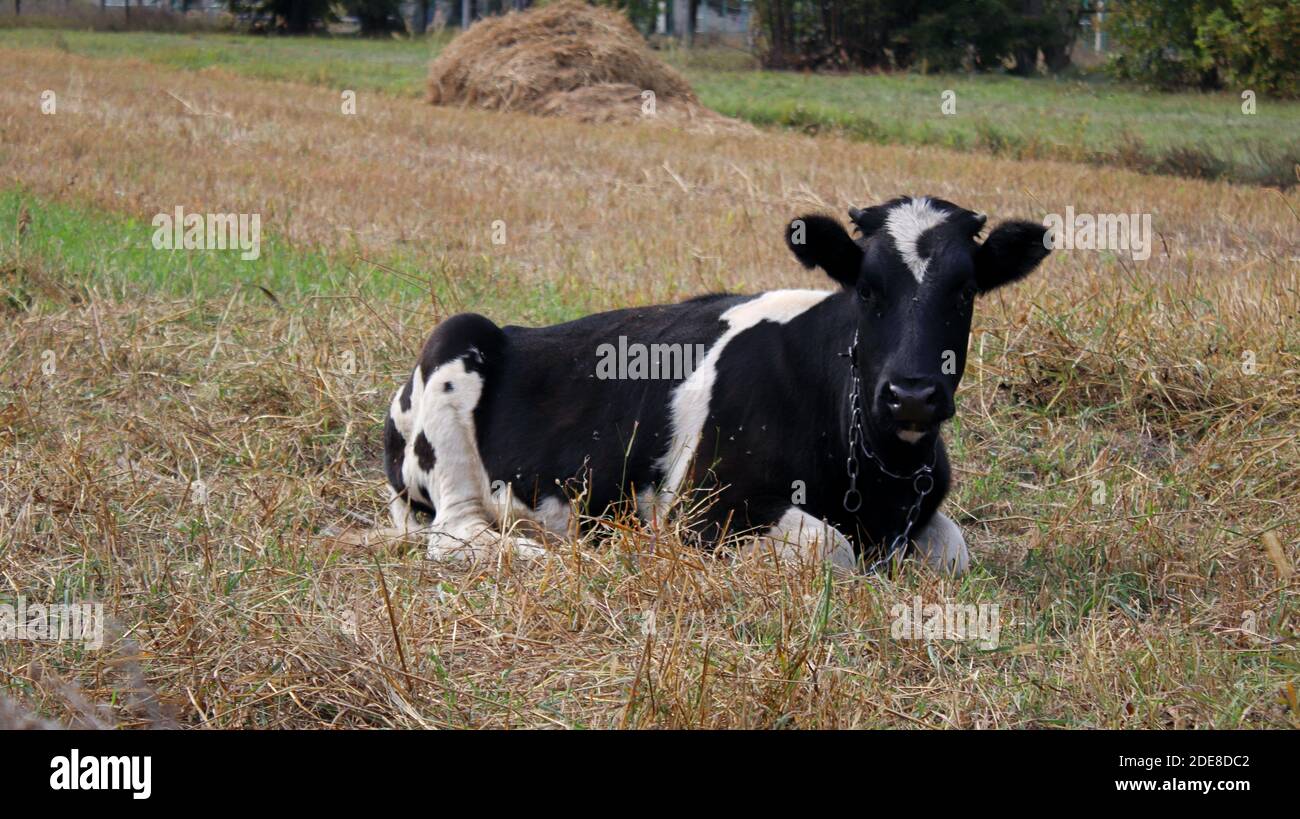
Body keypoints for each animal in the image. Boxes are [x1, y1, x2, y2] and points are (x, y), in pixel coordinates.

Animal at [379, 196, 1050, 574]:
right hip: (453, 347)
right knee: (456, 533)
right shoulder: (702, 508)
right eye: (866, 288)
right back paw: (538, 553)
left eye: (965, 290)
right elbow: (829, 549)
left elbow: (954, 554)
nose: (911, 395)